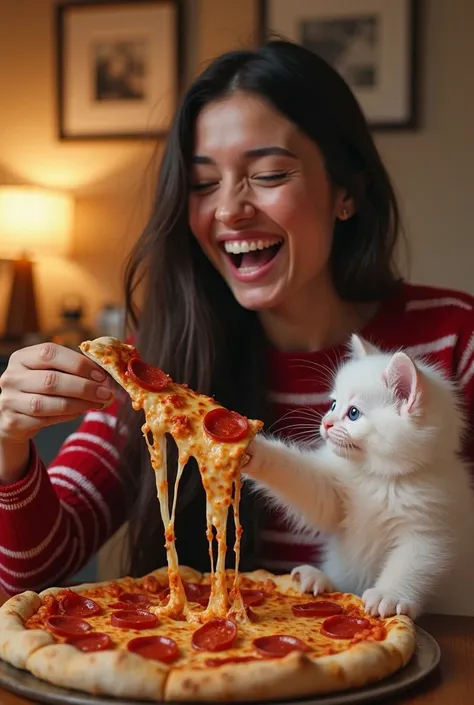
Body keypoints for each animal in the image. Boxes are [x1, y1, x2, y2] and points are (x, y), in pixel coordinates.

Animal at [244, 336, 474, 616]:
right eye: (333, 404)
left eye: (353, 413)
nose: (326, 422)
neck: (378, 477)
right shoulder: (333, 494)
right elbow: (307, 486)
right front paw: (251, 448)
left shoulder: (430, 530)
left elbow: (412, 564)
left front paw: (390, 595)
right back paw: (316, 578)